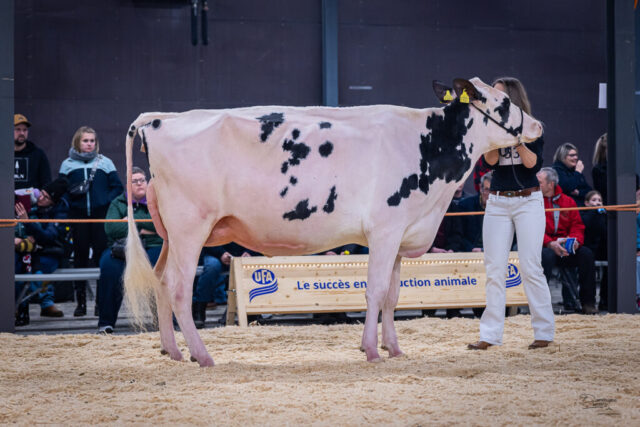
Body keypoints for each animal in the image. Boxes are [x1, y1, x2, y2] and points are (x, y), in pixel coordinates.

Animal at [124, 77, 543, 367]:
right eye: (505, 103)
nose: (537, 127)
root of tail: (161, 120)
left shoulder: (401, 233)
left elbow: (393, 295)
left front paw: (394, 348)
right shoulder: (385, 230)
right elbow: (375, 291)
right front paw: (372, 350)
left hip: (170, 234)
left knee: (161, 281)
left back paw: (173, 351)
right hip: (190, 228)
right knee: (179, 287)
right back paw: (203, 356)